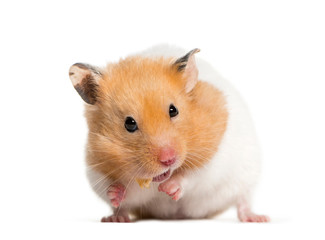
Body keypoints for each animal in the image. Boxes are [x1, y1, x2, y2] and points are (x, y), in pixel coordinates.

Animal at [67, 45, 268, 223]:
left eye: (174, 110)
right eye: (129, 123)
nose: (168, 159)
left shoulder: (213, 159)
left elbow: (193, 176)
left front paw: (169, 189)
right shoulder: (95, 168)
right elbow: (125, 191)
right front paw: (115, 192)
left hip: (245, 176)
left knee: (243, 199)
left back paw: (257, 218)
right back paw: (116, 218)